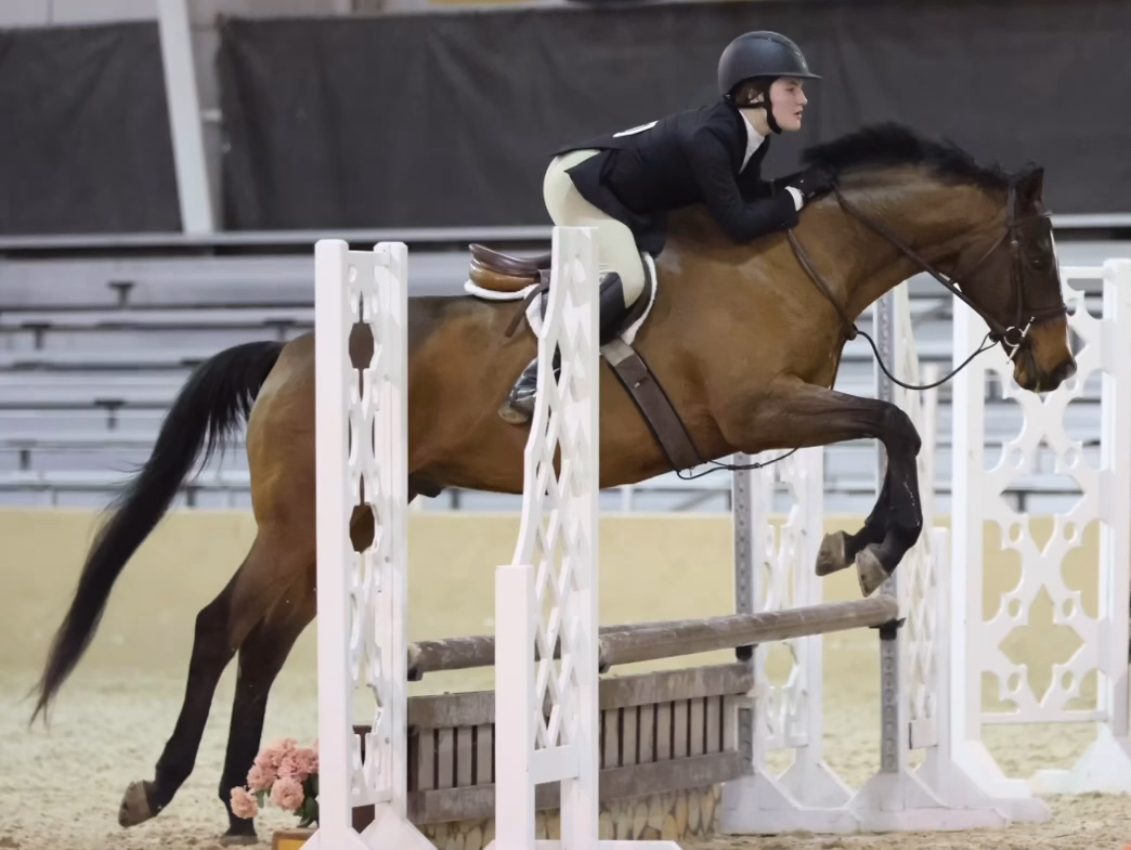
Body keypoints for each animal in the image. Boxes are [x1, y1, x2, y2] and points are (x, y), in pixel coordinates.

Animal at [30, 122, 1076, 840]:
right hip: (304, 522)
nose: (1055, 367)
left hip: (348, 524)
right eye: (1034, 250)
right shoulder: (756, 410)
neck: (790, 259)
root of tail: (289, 349)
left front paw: (858, 544)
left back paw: (242, 806)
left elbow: (891, 430)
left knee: (267, 641)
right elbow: (895, 423)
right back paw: (164, 790)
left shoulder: (785, 414)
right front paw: (864, 548)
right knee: (222, 626)